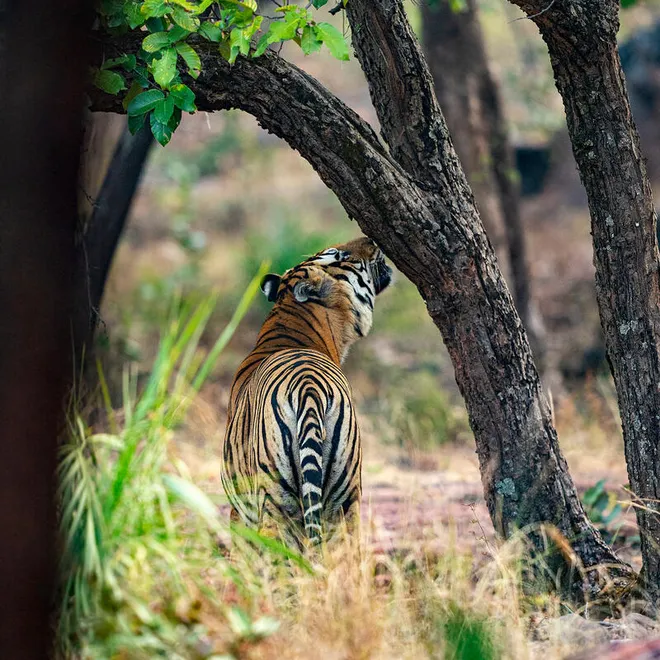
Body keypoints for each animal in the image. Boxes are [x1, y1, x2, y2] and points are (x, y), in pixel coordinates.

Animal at [221, 236, 392, 550]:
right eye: (338, 254)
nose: (372, 239)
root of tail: (308, 387)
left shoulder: (241, 512)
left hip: (278, 499)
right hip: (345, 498)